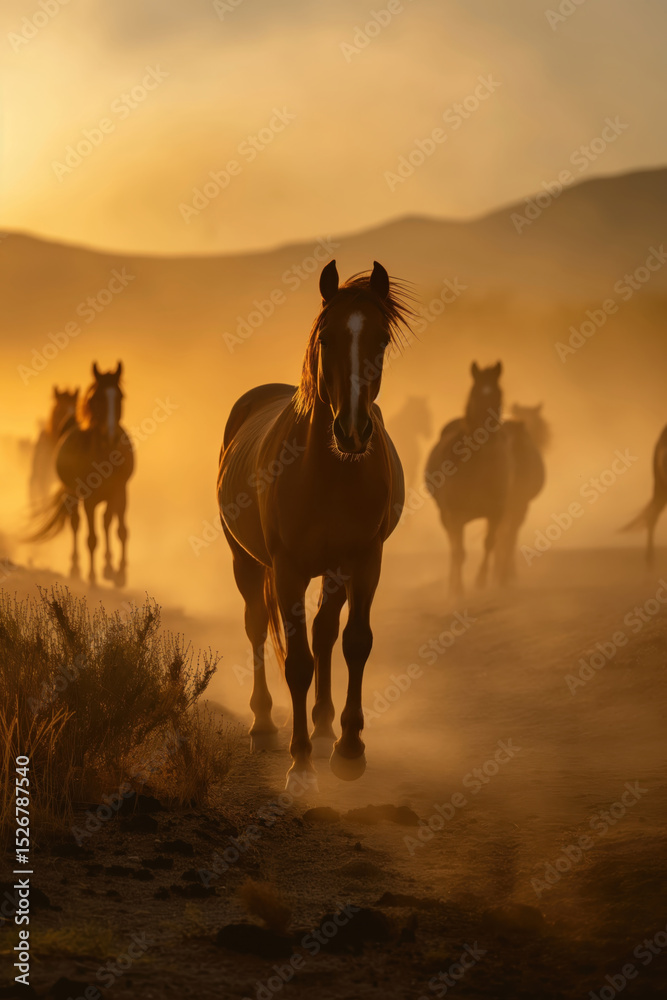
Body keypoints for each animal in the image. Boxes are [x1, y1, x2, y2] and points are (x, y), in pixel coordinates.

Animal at [29, 363, 134, 586]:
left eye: (120, 397)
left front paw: (120, 574)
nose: (111, 436)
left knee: (106, 522)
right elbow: (91, 538)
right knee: (77, 525)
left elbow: (121, 531)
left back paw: (108, 568)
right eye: (96, 399)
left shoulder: (121, 492)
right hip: (73, 495)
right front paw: (92, 578)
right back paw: (77, 569)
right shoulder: (89, 498)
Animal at [217, 261, 412, 792]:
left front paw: (348, 749)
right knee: (257, 626)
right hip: (245, 560)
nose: (352, 431)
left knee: (326, 632)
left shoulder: (363, 561)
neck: (329, 472)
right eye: (326, 339)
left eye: (381, 339)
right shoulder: (286, 570)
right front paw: (300, 764)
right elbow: (298, 662)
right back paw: (264, 725)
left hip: (334, 570)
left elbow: (353, 643)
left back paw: (325, 730)